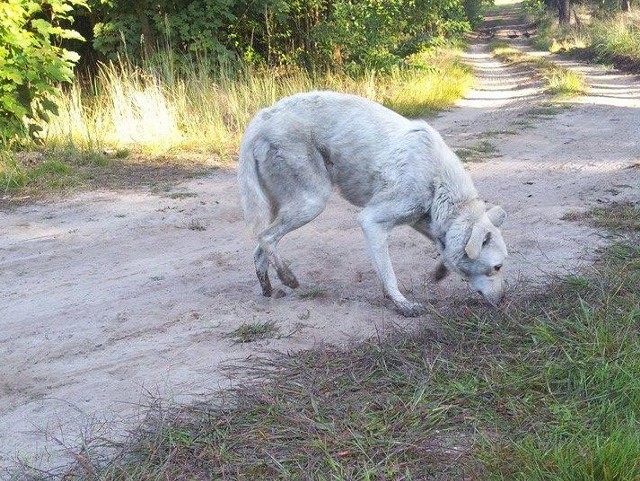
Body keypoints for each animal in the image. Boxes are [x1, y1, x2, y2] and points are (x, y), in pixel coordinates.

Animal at [238, 91, 508, 316]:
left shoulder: (423, 221)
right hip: (312, 202)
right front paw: (402, 305)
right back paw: (288, 277)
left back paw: (269, 289)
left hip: (286, 206)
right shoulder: (372, 222)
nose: (504, 300)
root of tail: (262, 118)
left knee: (259, 248)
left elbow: (442, 249)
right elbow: (388, 275)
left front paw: (440, 271)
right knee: (265, 237)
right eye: (497, 267)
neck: (438, 183)